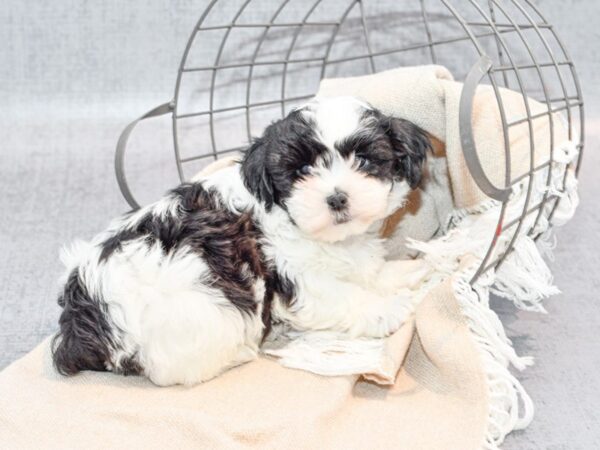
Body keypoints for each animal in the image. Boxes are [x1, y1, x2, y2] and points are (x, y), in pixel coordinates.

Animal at [50, 96, 426, 384]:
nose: (336, 198)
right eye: (302, 171)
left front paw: (410, 271)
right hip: (200, 309)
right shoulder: (293, 276)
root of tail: (84, 316)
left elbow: (370, 272)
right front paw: (387, 308)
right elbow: (339, 296)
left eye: (362, 159)